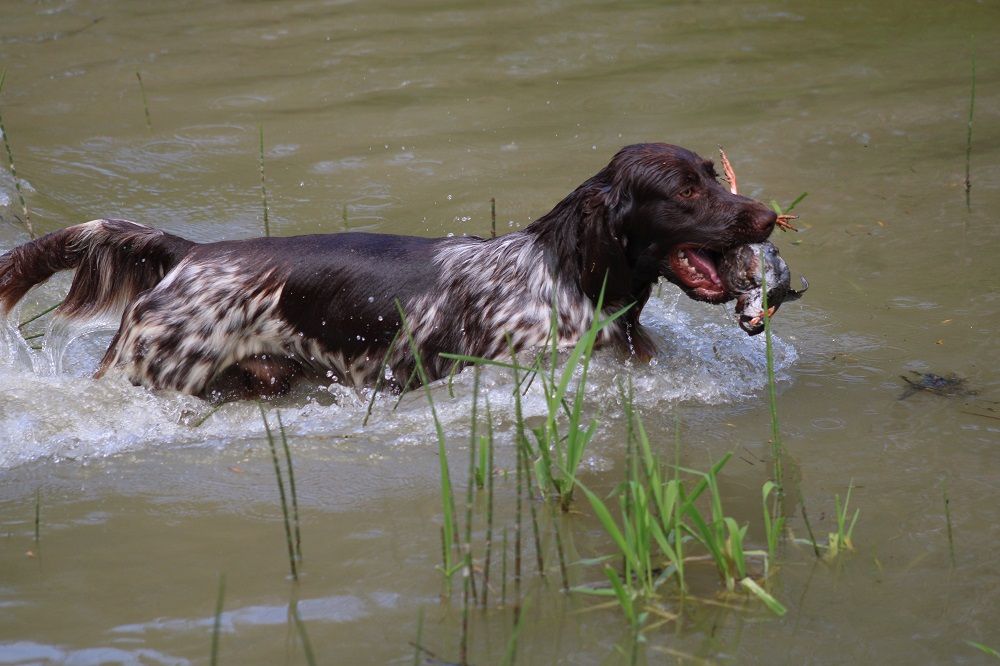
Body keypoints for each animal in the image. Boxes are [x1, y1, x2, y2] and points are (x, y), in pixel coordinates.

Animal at [0, 142, 776, 396]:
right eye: (685, 192)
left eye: (713, 175)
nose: (770, 215)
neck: (565, 279)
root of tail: (189, 254)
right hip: (153, 373)